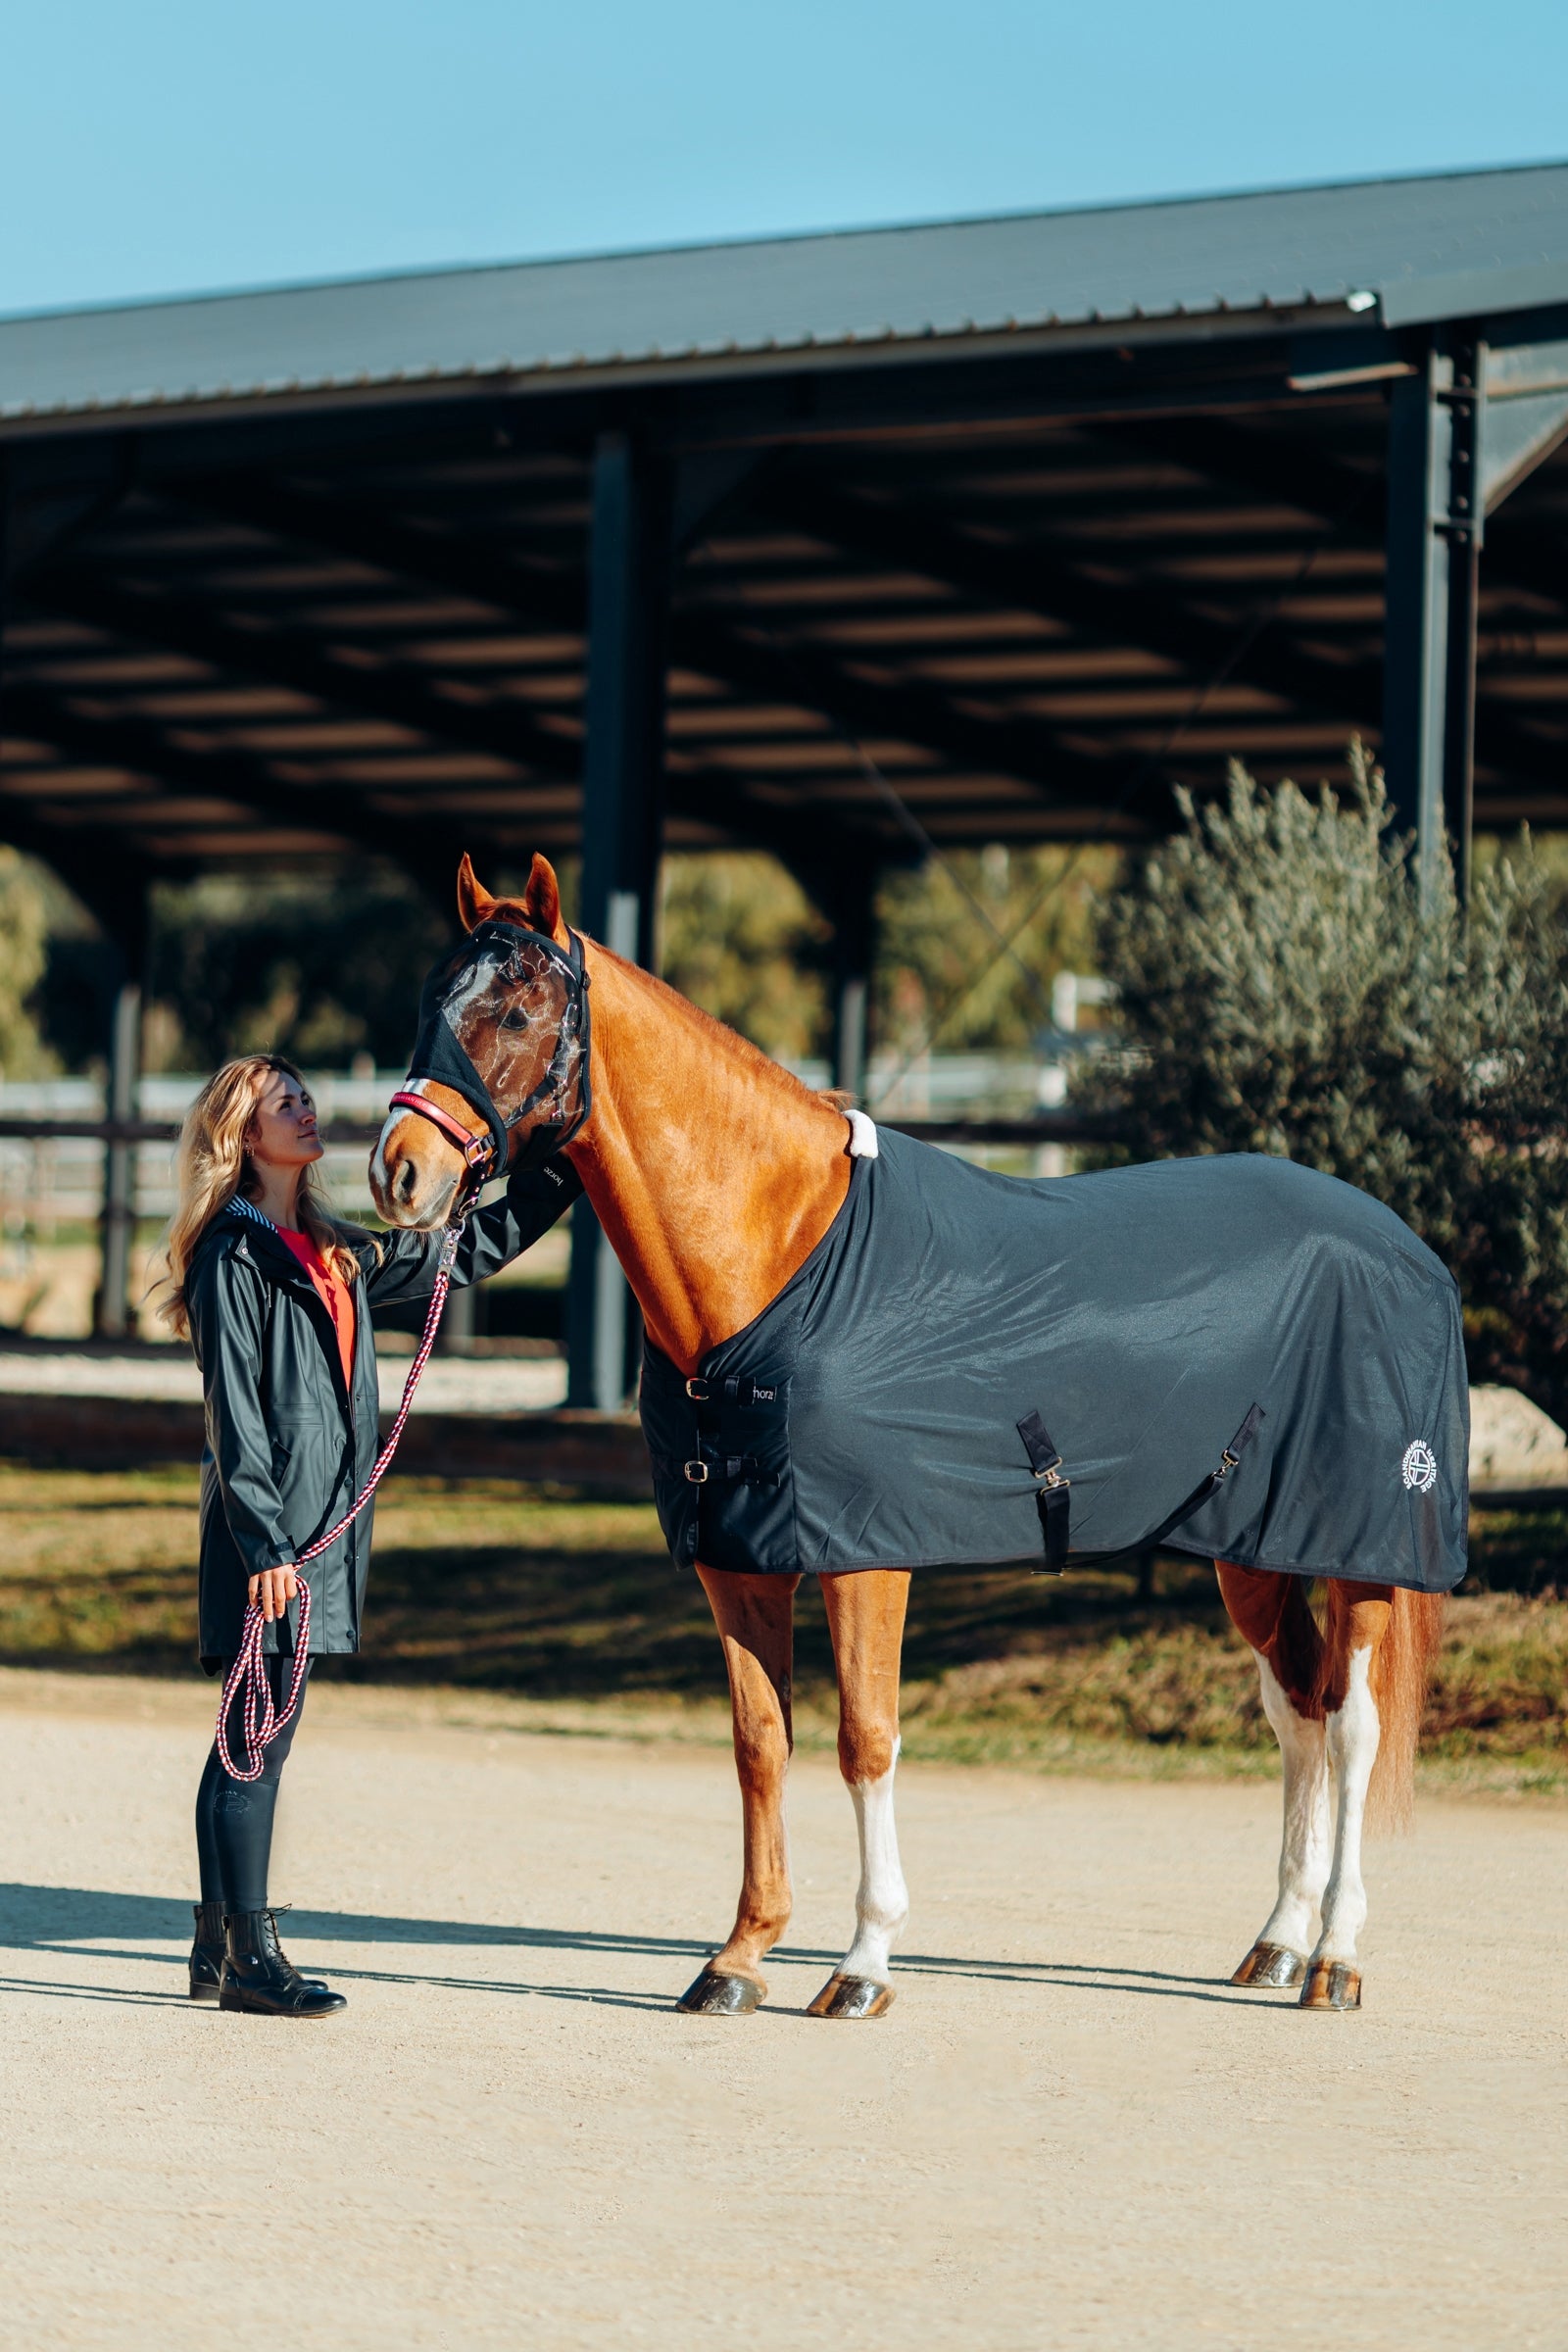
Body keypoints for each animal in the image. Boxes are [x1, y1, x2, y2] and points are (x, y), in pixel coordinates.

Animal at [370, 852, 1453, 2018]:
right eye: (428, 1007)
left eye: (519, 1013)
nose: (398, 1176)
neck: (778, 1255)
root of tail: (1400, 1241)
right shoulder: (736, 1559)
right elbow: (760, 1744)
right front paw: (738, 1958)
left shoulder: (865, 1556)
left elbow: (864, 1740)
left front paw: (862, 1963)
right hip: (1250, 1546)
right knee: (1297, 1709)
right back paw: (1279, 1942)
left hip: (1358, 1549)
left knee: (1352, 1725)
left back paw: (1335, 1956)